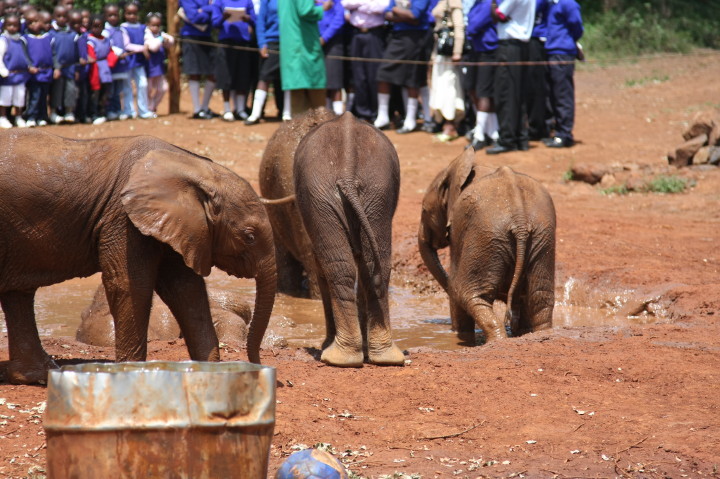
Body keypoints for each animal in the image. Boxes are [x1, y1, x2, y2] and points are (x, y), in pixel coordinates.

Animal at [293, 111, 405, 367]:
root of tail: (347, 172)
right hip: (375, 192)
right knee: (375, 267)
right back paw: (384, 357)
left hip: (323, 196)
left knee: (338, 269)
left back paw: (336, 357)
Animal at [418, 148, 556, 342]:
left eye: (424, 210)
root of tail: (520, 222)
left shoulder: (460, 228)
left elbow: (455, 286)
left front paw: (460, 335)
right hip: (541, 239)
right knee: (540, 298)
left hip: (487, 237)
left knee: (468, 294)